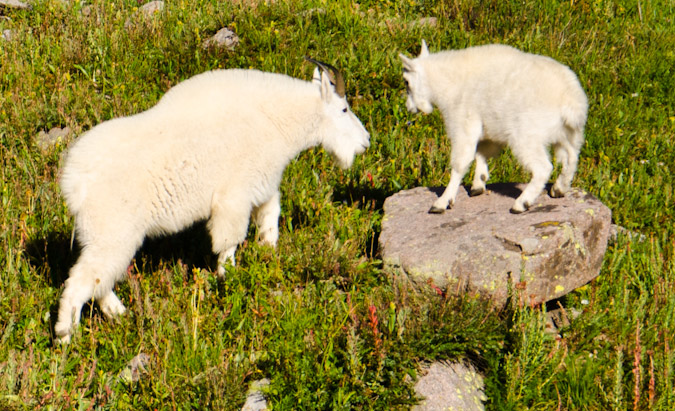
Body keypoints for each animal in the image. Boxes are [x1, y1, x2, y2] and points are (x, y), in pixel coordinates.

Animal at [55, 57, 372, 342]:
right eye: (344, 109)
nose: (366, 141)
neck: (275, 120)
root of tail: (73, 182)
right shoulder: (234, 196)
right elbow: (228, 242)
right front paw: (228, 279)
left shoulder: (262, 186)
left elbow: (270, 220)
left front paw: (267, 255)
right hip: (112, 233)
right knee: (81, 281)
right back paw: (65, 337)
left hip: (100, 237)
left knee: (98, 282)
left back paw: (120, 315)